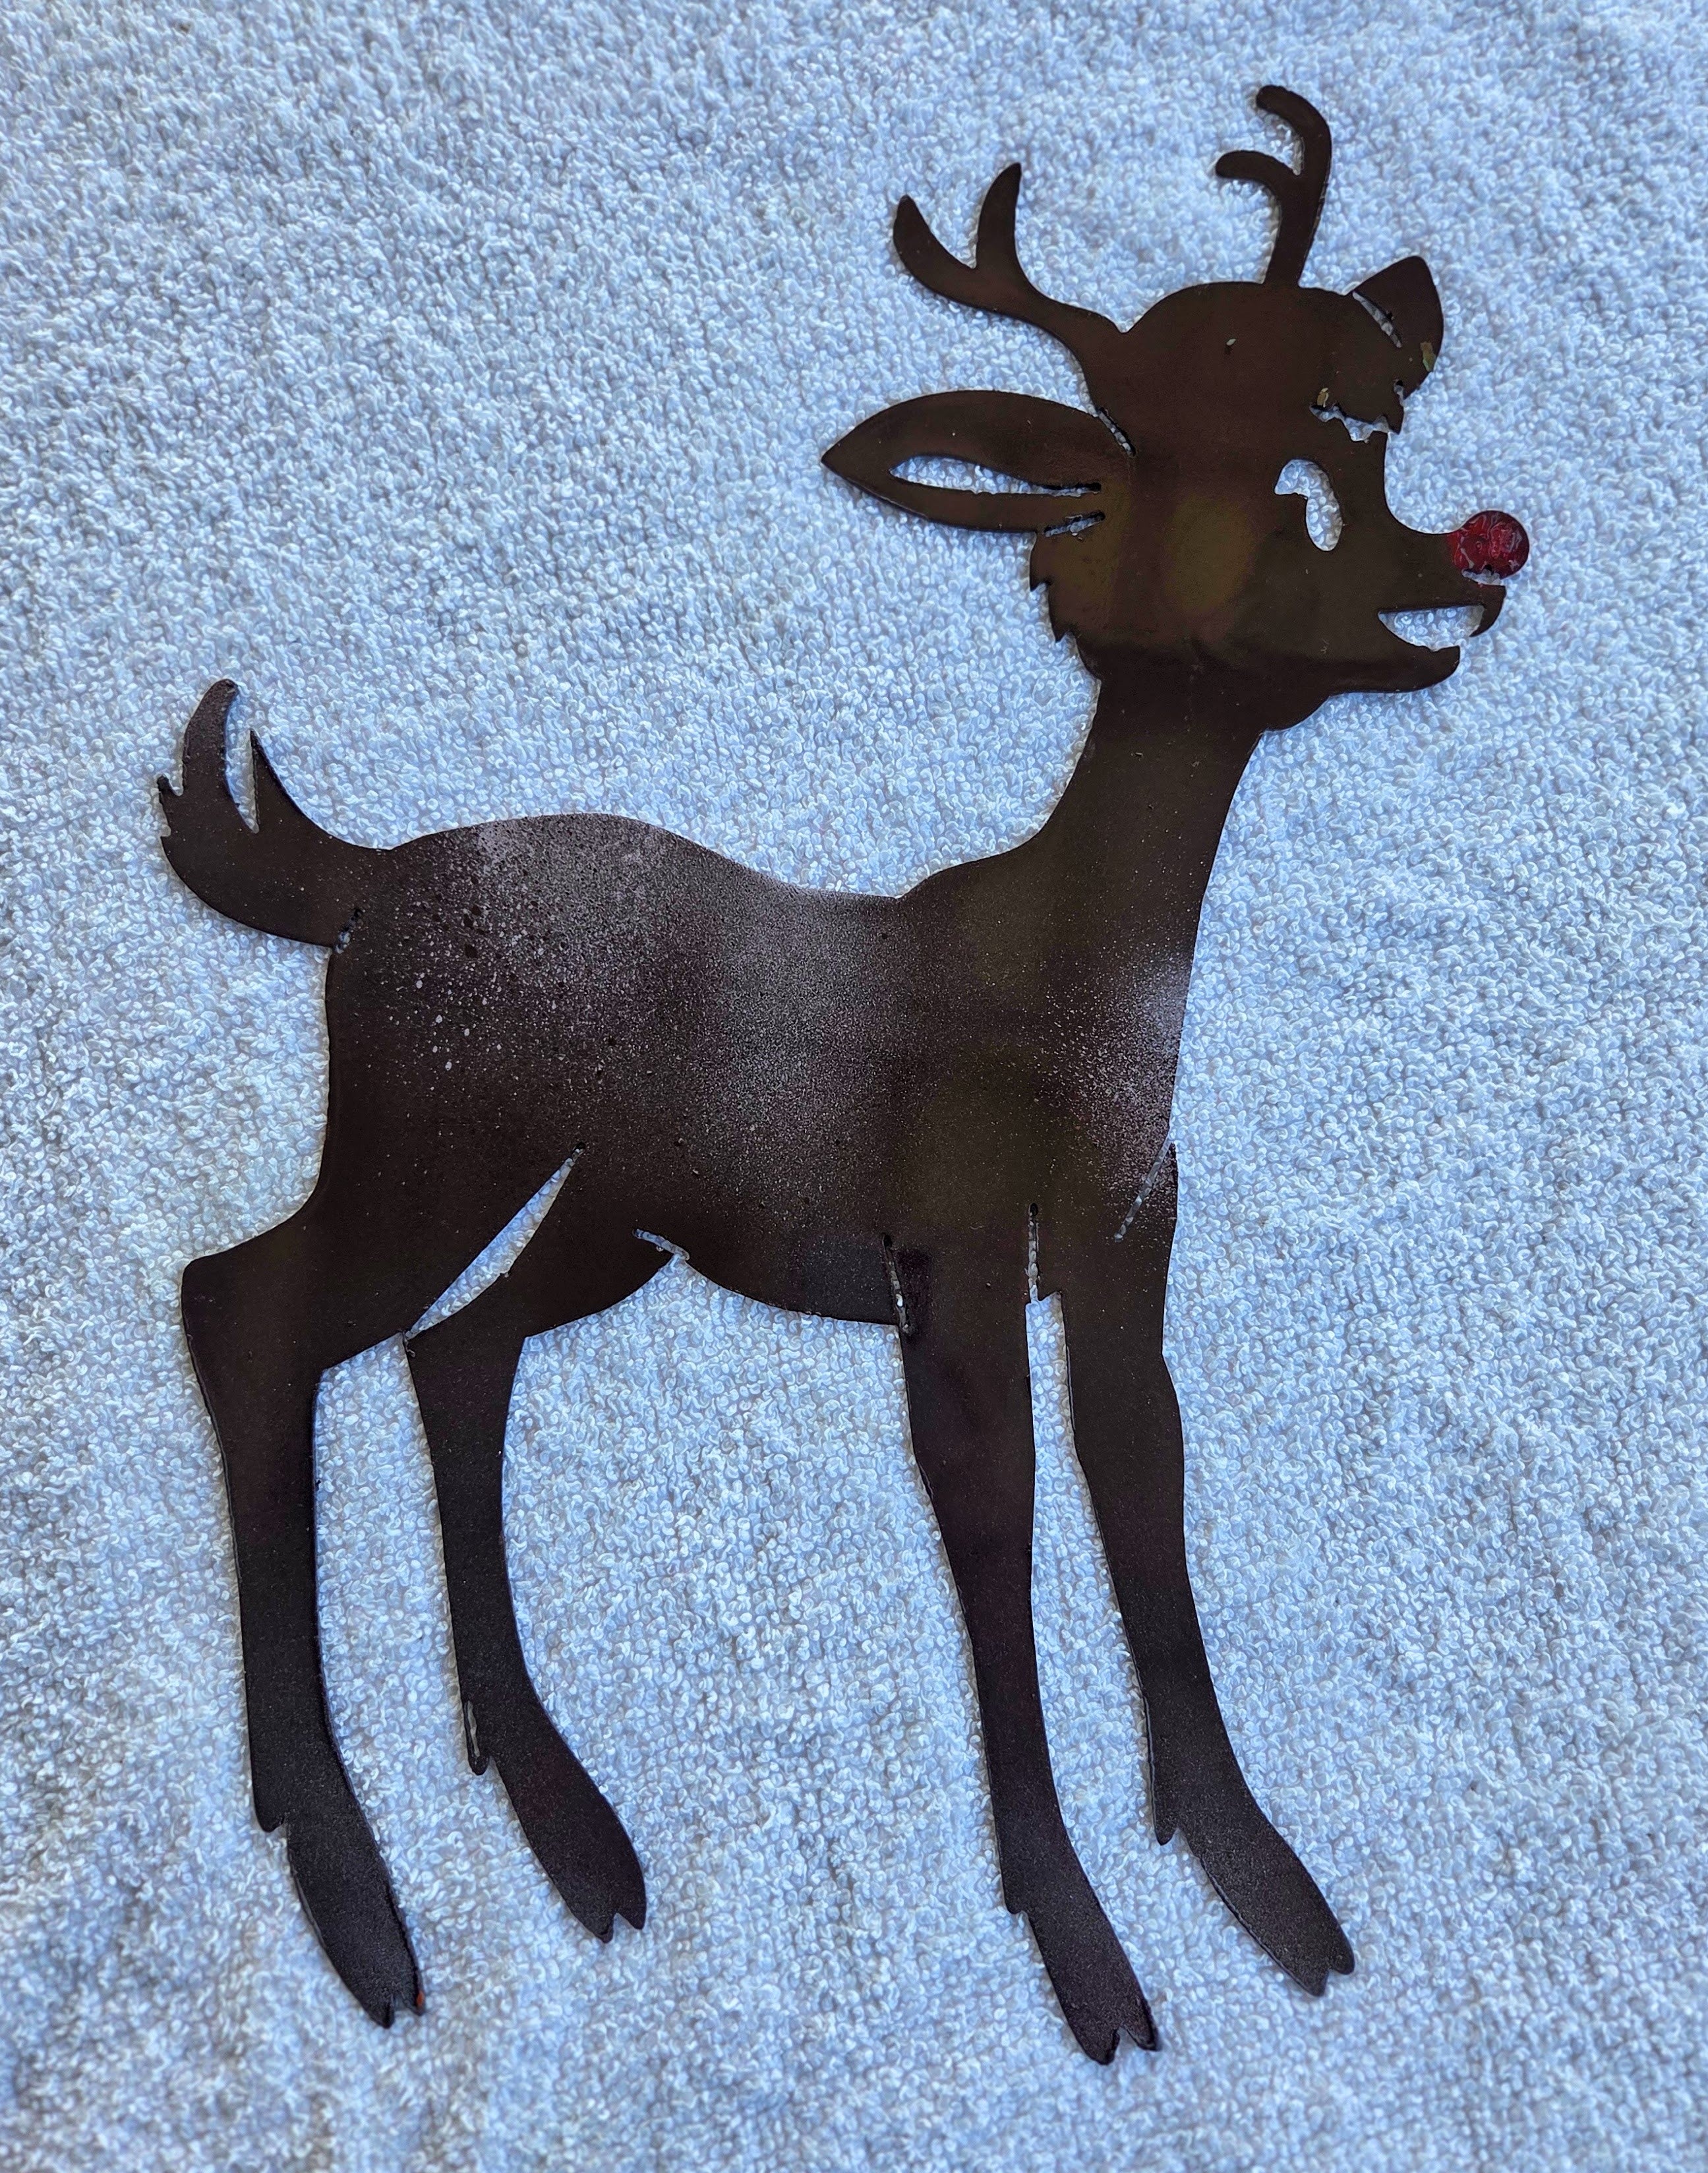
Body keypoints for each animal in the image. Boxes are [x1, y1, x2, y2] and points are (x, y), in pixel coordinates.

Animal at [159, 87, 1528, 2061]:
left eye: (1368, 454)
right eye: (1264, 489)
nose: (1477, 553)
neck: (1064, 991)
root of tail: (355, 883)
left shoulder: (1124, 1239)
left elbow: (1149, 1494)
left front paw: (1268, 1890)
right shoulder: (944, 1248)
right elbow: (995, 1528)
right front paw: (1087, 1960)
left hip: (609, 1214)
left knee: (454, 1353)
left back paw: (575, 1832)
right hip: (434, 1135)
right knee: (248, 1304)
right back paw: (360, 1907)